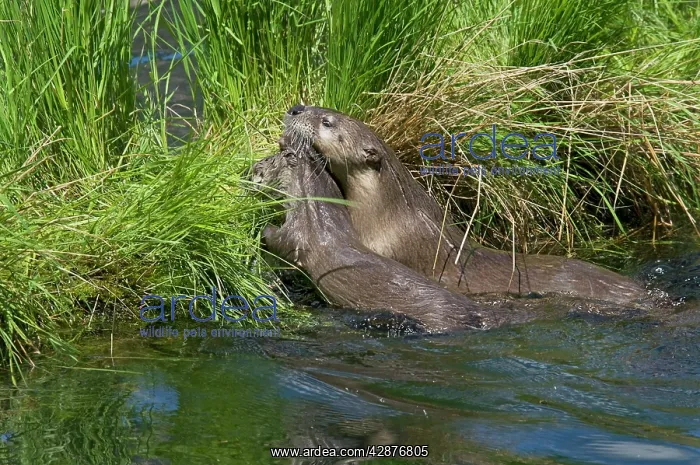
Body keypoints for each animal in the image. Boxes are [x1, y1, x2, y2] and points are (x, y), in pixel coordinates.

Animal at [251, 147, 488, 333]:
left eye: (266, 161)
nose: (251, 169)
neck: (316, 214)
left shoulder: (297, 234)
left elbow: (278, 240)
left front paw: (262, 231)